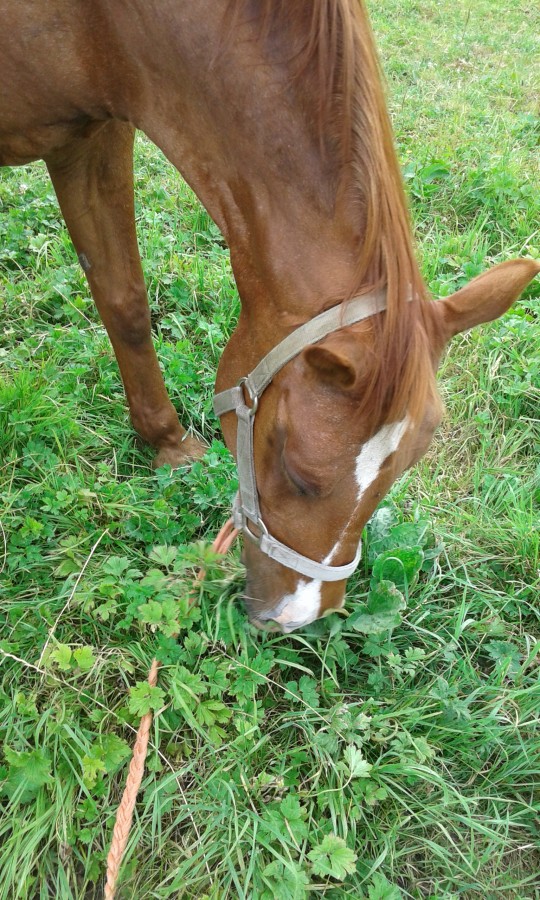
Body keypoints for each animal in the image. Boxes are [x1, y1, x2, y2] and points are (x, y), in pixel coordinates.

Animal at [2, 1, 538, 632]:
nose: (296, 619)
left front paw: (167, 444)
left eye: (400, 472)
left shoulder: (93, 134)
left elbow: (125, 299)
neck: (105, 24)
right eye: (299, 474)